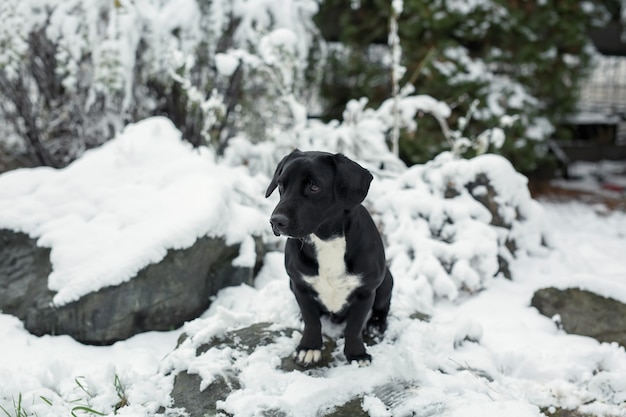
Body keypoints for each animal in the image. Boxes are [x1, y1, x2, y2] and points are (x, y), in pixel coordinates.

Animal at [264, 149, 390, 364]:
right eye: (281, 185)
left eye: (314, 187)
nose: (276, 221)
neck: (326, 240)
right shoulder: (300, 286)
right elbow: (312, 321)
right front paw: (309, 347)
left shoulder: (365, 291)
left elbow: (354, 327)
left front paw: (356, 354)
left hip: (386, 281)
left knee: (383, 306)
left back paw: (375, 324)